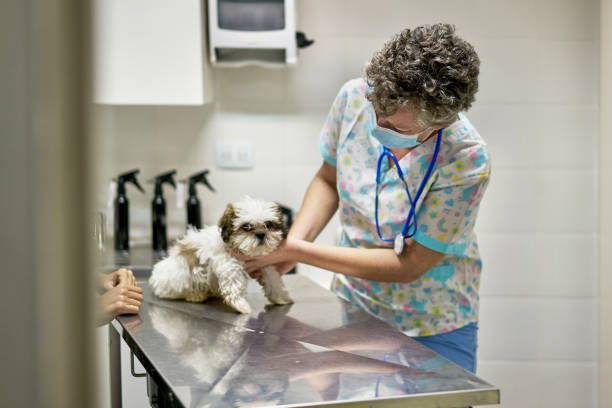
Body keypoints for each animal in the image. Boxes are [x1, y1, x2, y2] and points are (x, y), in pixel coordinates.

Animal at [148, 196, 292, 314]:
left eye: (268, 224)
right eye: (246, 226)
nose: (261, 234)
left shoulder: (264, 263)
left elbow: (273, 279)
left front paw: (281, 297)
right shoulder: (229, 266)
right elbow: (233, 286)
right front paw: (241, 306)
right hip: (179, 276)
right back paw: (195, 295)